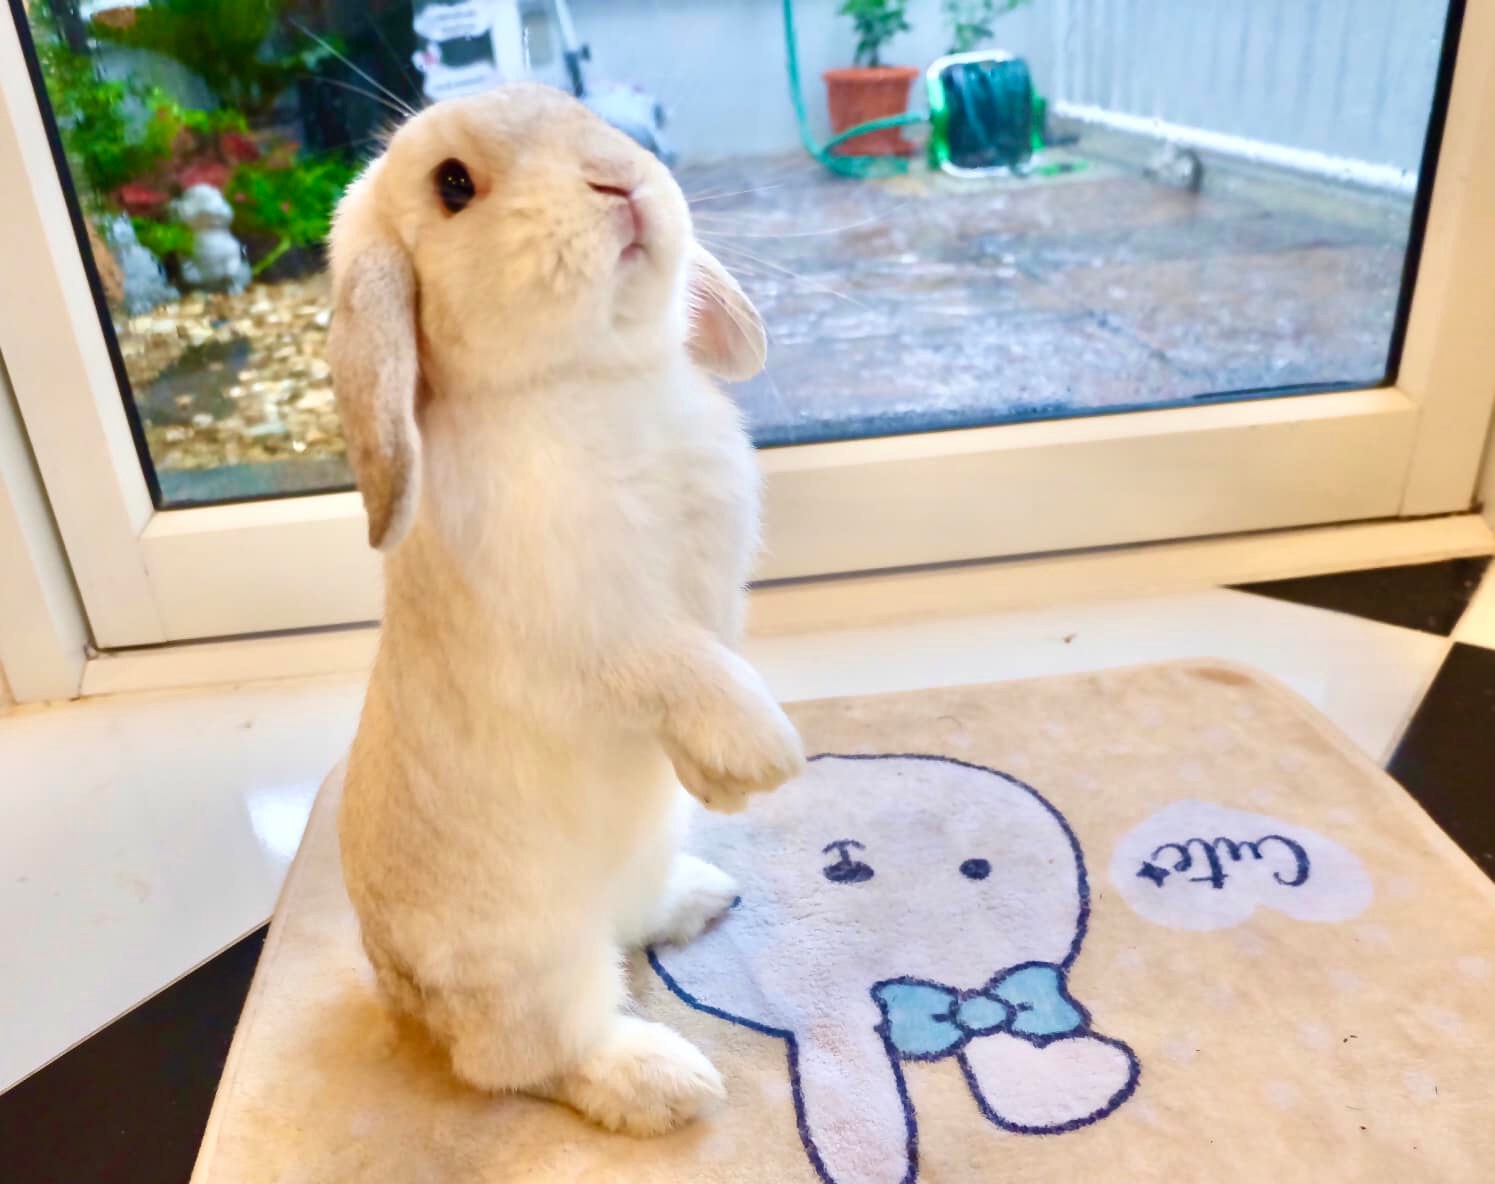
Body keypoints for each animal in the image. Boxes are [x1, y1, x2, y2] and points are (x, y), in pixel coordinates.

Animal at [327, 83, 805, 1138]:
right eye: (452, 185)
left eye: (585, 115)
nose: (619, 179)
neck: (592, 382)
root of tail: (401, 999)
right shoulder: (598, 639)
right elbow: (689, 671)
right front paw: (765, 759)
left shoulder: (714, 591)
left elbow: (717, 657)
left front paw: (721, 786)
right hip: (534, 970)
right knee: (523, 1061)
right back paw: (663, 1083)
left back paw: (698, 897)